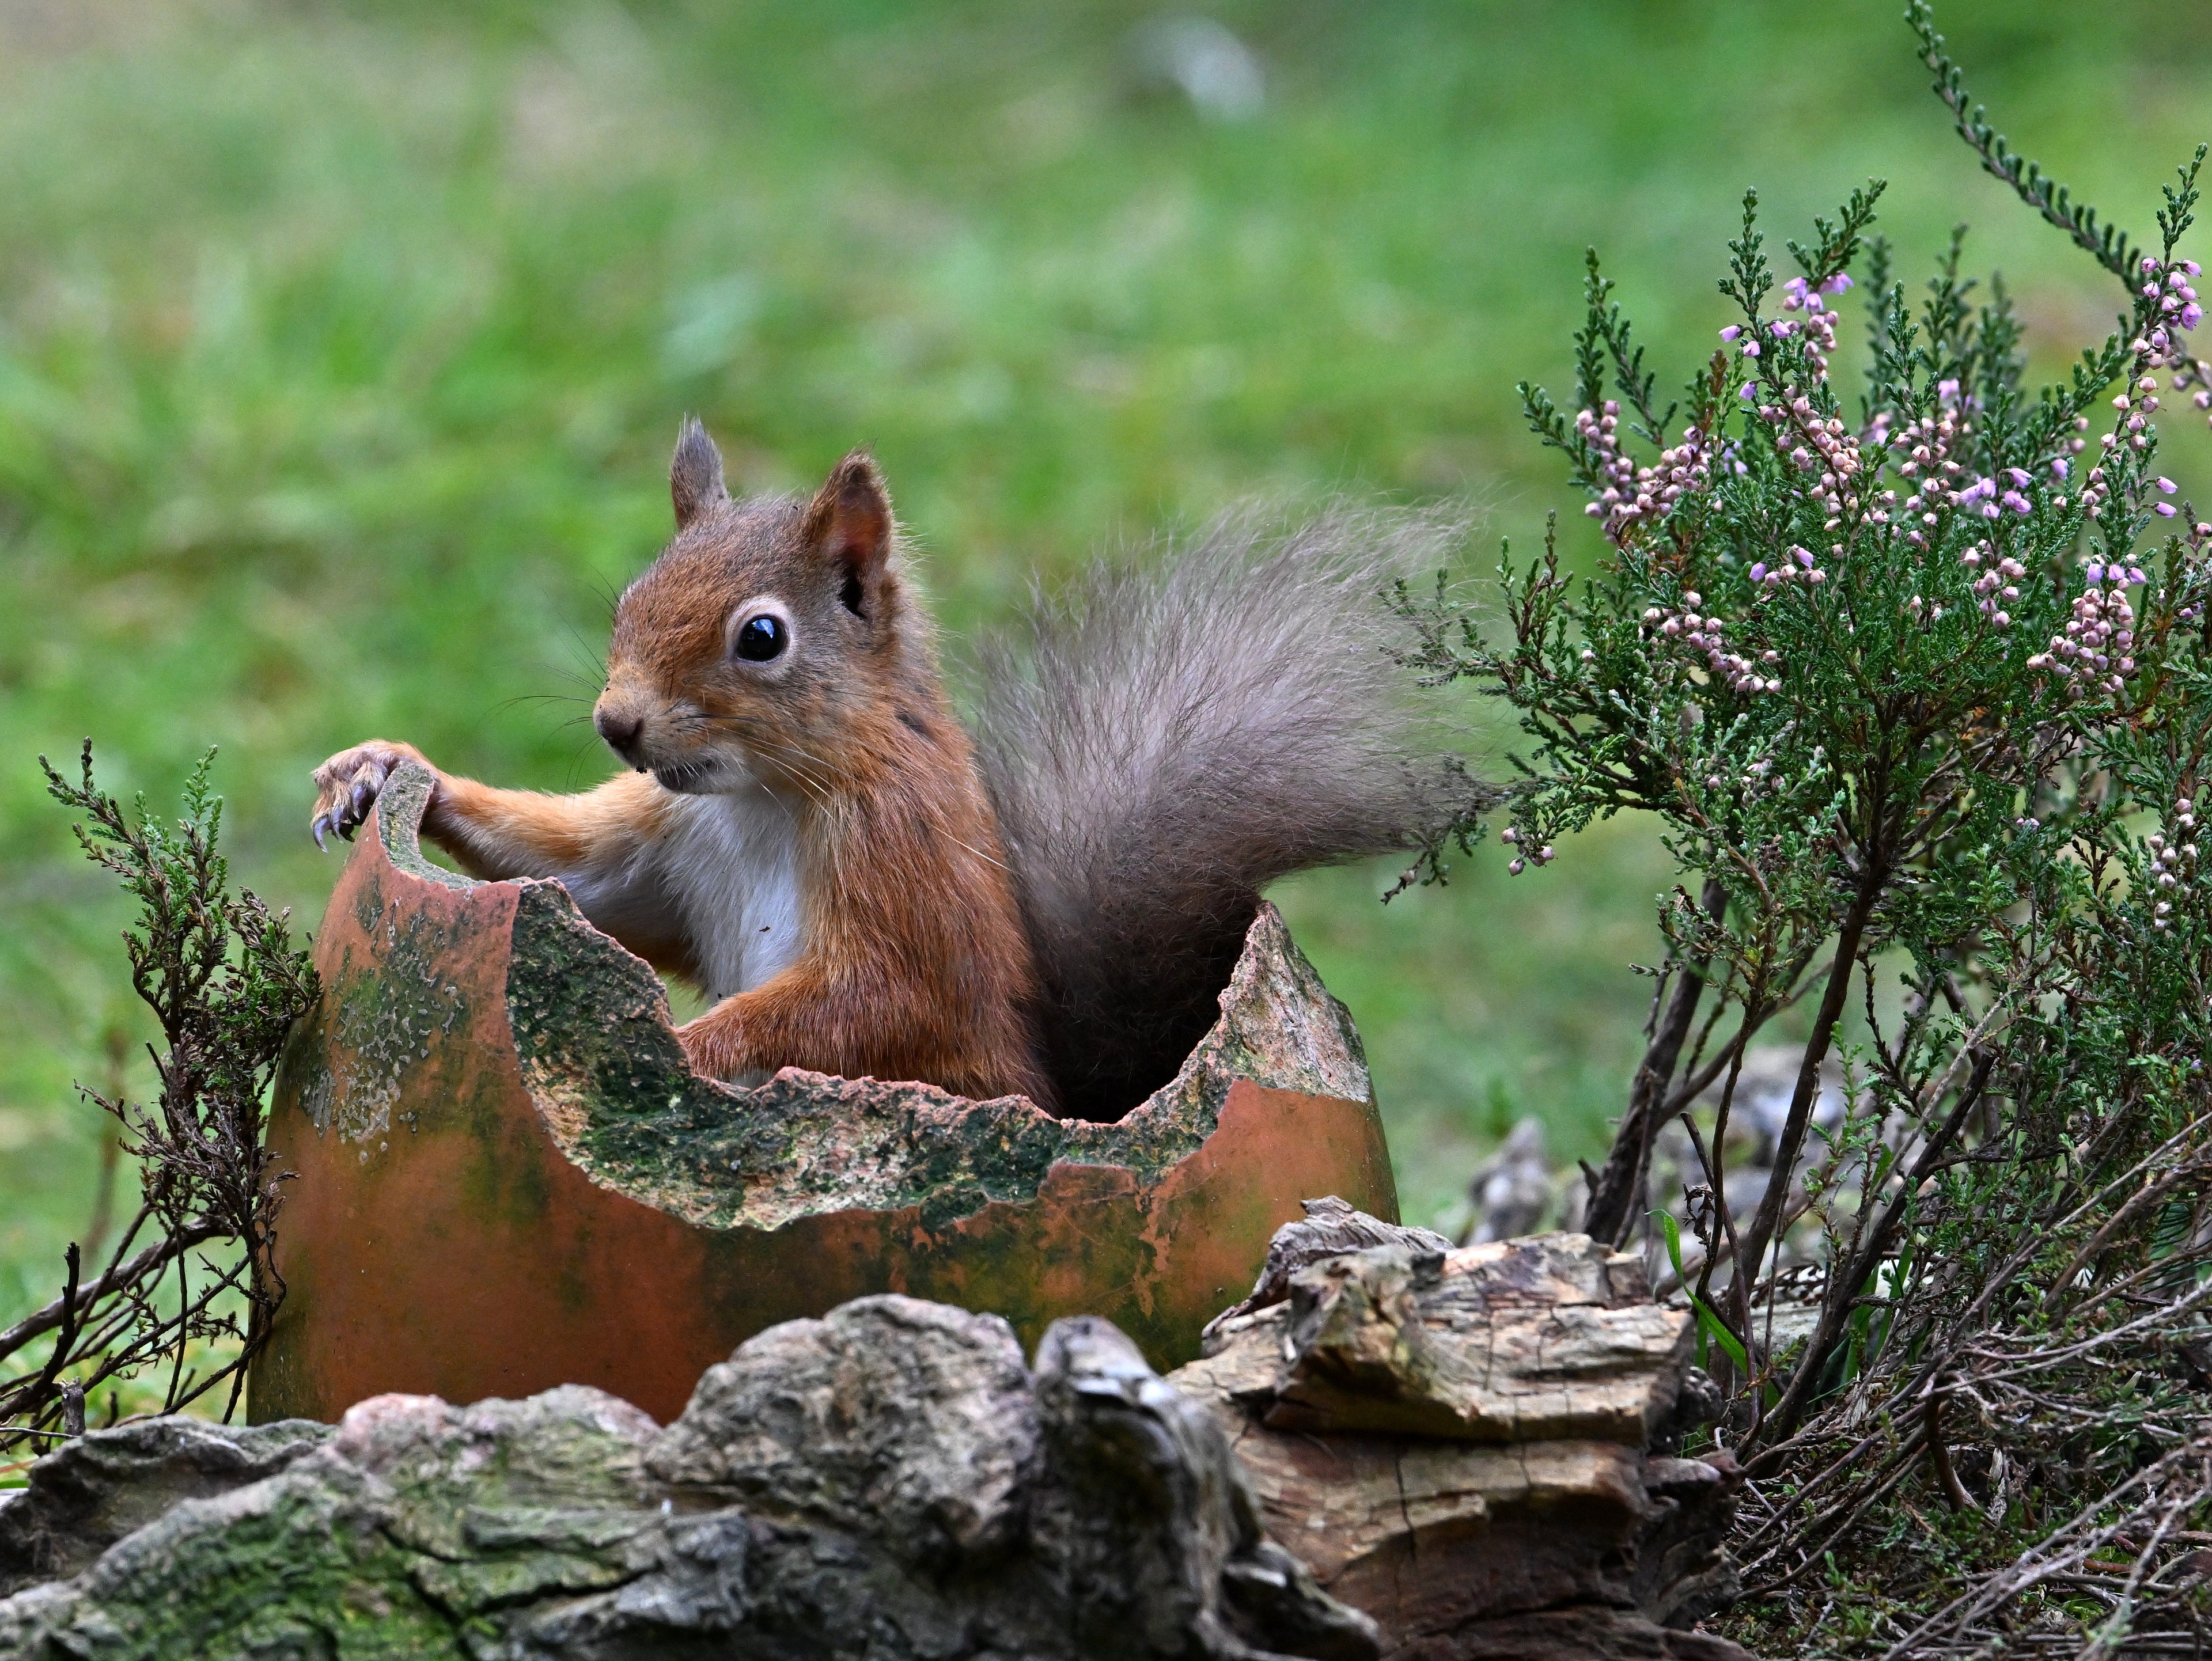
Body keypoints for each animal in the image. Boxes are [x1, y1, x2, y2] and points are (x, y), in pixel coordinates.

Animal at [311, 420, 1458, 1121]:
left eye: (761, 637)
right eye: (632, 598)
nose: (617, 724)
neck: (759, 798)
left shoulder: (900, 866)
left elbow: (874, 997)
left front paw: (683, 1042)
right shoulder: (661, 839)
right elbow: (577, 879)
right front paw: (391, 769)